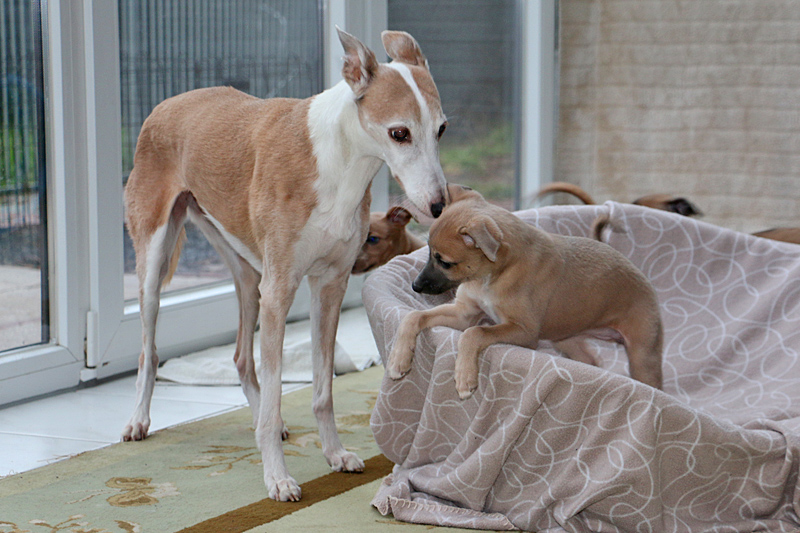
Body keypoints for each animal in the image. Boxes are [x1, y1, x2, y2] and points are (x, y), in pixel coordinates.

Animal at [125, 29, 450, 500]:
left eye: (442, 128)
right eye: (399, 133)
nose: (440, 206)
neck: (337, 163)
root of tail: (166, 103)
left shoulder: (329, 286)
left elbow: (322, 390)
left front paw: (334, 454)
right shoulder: (280, 290)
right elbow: (279, 388)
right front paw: (277, 478)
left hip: (248, 274)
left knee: (242, 356)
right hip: (155, 263)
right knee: (148, 351)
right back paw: (139, 420)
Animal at [386, 185, 664, 396]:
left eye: (444, 262)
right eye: (428, 252)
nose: (415, 286)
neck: (491, 277)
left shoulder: (523, 331)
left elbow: (474, 333)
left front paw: (464, 377)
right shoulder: (464, 313)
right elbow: (414, 316)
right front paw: (399, 358)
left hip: (643, 354)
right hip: (566, 338)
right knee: (591, 361)